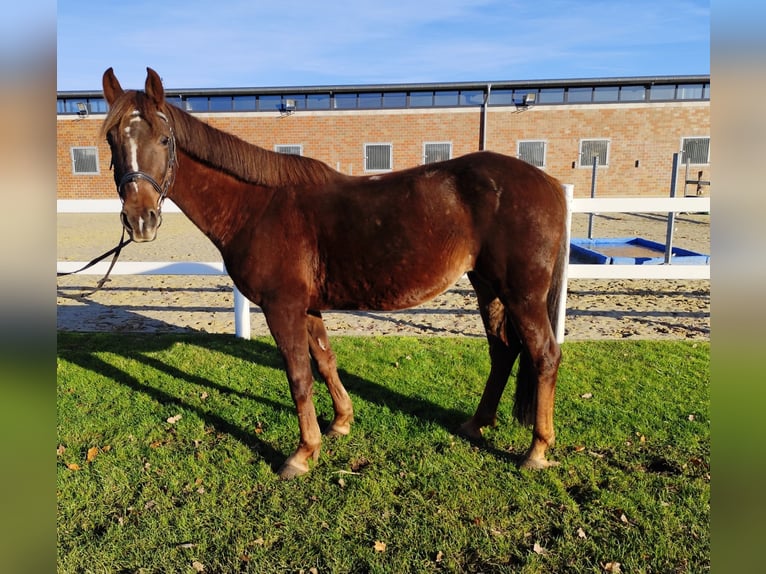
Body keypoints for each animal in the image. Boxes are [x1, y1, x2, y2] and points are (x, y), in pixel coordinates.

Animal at [100, 68, 568, 482]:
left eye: (164, 139)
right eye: (111, 139)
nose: (140, 219)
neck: (259, 207)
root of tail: (548, 183)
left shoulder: (283, 307)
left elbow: (298, 376)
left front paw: (302, 453)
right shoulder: (307, 307)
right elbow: (325, 361)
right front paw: (341, 422)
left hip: (521, 294)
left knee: (544, 355)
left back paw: (537, 450)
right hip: (487, 286)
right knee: (503, 351)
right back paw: (477, 424)